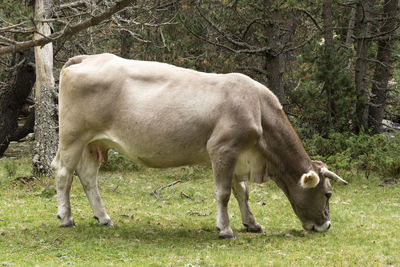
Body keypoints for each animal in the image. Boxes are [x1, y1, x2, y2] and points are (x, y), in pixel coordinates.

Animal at [52, 53, 346, 240]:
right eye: (327, 194)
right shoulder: (223, 148)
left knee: (88, 177)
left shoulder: (239, 155)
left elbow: (242, 192)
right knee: (63, 173)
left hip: (93, 142)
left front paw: (252, 223)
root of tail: (89, 57)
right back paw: (66, 218)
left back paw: (103, 217)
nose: (327, 225)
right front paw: (225, 229)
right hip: (72, 137)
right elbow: (224, 193)